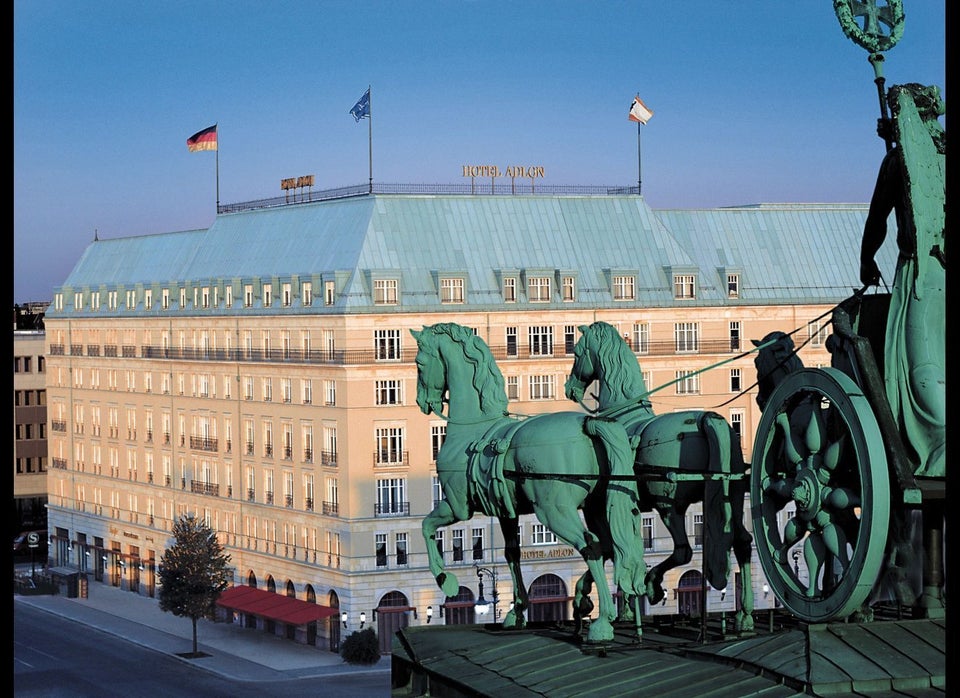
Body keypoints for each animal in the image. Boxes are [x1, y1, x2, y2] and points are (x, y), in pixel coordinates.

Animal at [410, 322, 644, 640]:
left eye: (419, 363)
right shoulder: (505, 512)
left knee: (591, 546)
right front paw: (516, 610)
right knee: (610, 545)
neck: (473, 430)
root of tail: (588, 423)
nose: (423, 403)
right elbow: (512, 554)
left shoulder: (457, 507)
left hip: (554, 511)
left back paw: (602, 621)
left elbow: (426, 527)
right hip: (596, 506)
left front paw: (446, 579)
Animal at [564, 320, 756, 632]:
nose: (570, 388)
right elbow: (614, 549)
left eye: (578, 351)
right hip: (733, 498)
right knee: (741, 541)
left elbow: (607, 548)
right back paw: (745, 614)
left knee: (684, 551)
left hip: (668, 505)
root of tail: (707, 419)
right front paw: (625, 607)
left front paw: (587, 598)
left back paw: (653, 584)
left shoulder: (598, 508)